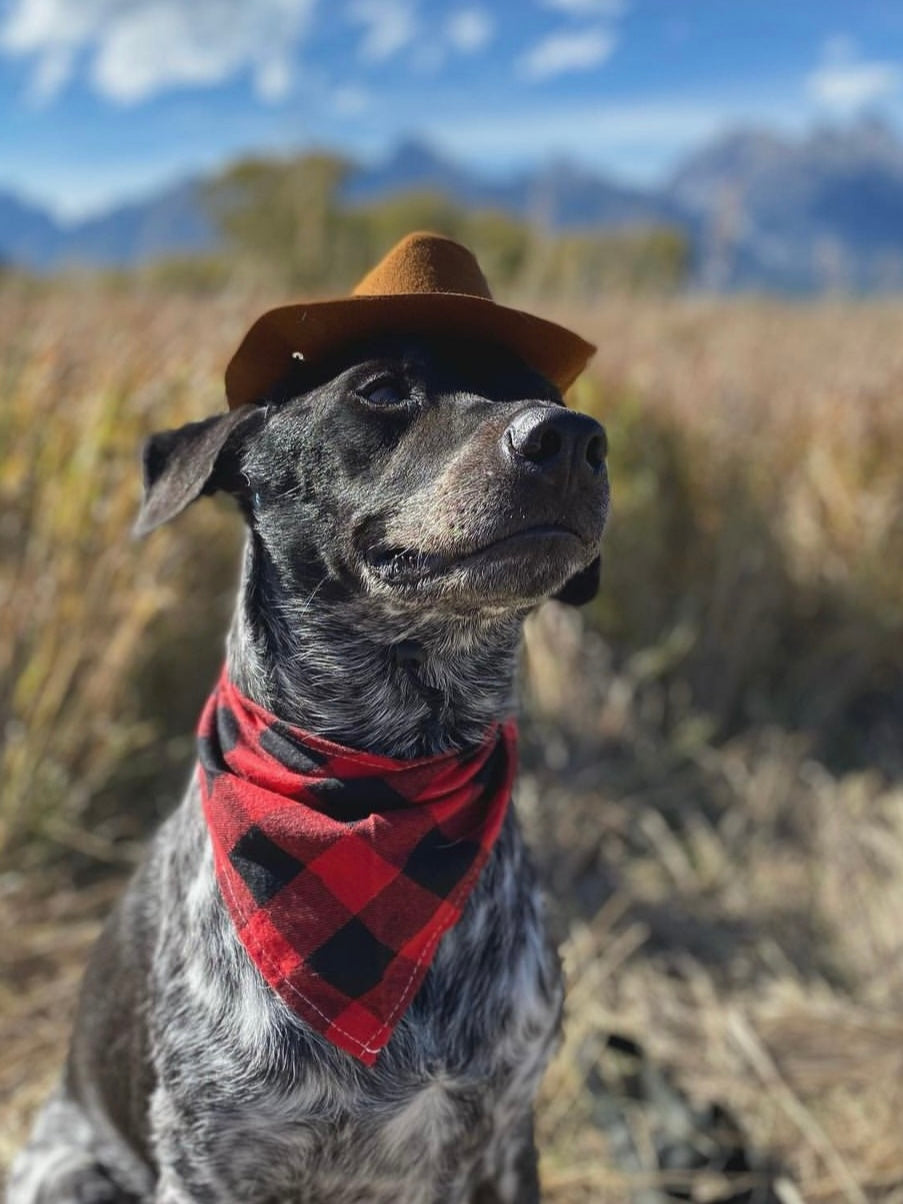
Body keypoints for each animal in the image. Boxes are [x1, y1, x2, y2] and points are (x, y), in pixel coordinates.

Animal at [8, 237, 609, 1204]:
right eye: (383, 388)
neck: (381, 781)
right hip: (72, 1171)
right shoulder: (211, 1163)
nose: (572, 440)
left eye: (549, 396)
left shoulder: (504, 1136)